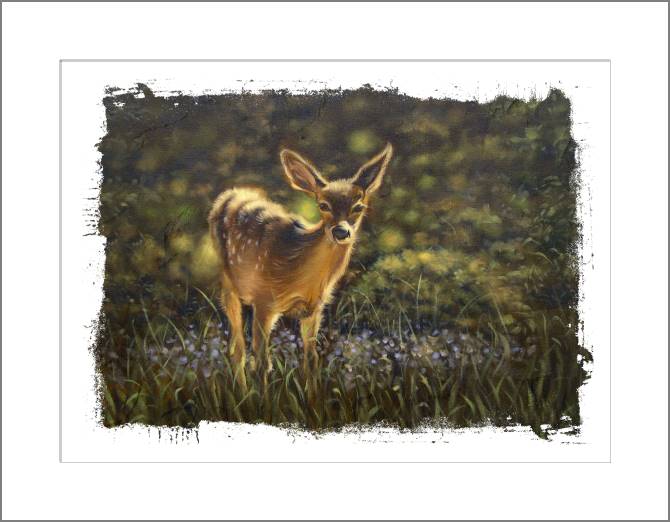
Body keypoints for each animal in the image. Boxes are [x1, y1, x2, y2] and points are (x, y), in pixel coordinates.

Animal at [208, 143, 393, 390]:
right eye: (323, 205)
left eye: (358, 206)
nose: (341, 232)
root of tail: (231, 194)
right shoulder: (263, 300)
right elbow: (262, 362)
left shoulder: (314, 309)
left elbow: (311, 359)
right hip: (228, 285)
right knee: (237, 348)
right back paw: (242, 392)